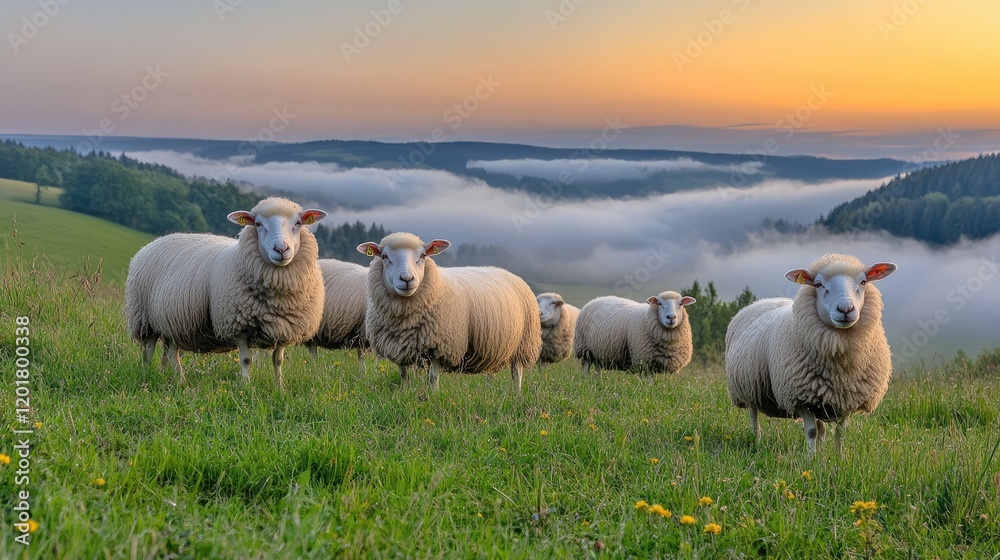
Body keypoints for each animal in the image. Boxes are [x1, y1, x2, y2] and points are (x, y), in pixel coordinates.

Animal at [125, 197, 327, 389]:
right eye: (258, 224)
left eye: (298, 223)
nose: (281, 249)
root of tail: (155, 241)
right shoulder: (237, 325)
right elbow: (246, 360)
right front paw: (246, 387)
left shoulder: (284, 329)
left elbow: (278, 361)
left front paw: (280, 388)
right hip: (145, 318)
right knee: (149, 349)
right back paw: (147, 374)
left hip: (174, 322)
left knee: (170, 352)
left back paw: (176, 378)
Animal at [357, 232, 541, 392]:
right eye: (384, 257)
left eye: (422, 256)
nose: (407, 279)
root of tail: (507, 271)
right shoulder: (395, 346)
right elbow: (403, 375)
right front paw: (404, 392)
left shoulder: (438, 346)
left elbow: (433, 377)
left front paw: (433, 396)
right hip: (494, 346)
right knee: (491, 371)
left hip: (524, 342)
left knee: (517, 373)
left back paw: (517, 394)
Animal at [724, 253, 897, 454]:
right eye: (818, 284)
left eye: (863, 282)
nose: (845, 309)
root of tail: (765, 300)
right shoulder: (801, 398)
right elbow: (812, 431)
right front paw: (811, 458)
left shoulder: (846, 399)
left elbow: (840, 433)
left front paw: (838, 457)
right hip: (748, 387)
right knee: (754, 417)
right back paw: (757, 442)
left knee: (822, 428)